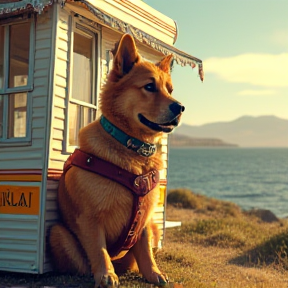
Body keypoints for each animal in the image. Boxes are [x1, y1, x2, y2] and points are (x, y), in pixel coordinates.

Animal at [49, 34, 184, 288]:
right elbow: (99, 250)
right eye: (149, 86)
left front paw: (153, 273)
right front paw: (106, 275)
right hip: (58, 233)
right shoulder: (90, 219)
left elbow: (145, 251)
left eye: (170, 90)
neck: (132, 148)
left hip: (153, 227)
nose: (180, 107)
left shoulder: (144, 222)